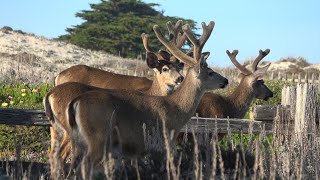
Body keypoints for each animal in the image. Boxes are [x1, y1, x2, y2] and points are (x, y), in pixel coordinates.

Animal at [43, 23, 186, 179]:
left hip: (55, 127)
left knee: (53, 153)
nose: (180, 78)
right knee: (61, 155)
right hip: (70, 129)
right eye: (164, 68)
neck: (151, 92)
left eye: (177, 66)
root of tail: (50, 92)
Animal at [65, 20, 228, 179]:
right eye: (210, 72)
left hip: (80, 141)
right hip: (97, 138)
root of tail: (75, 102)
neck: (176, 108)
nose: (225, 80)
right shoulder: (165, 141)